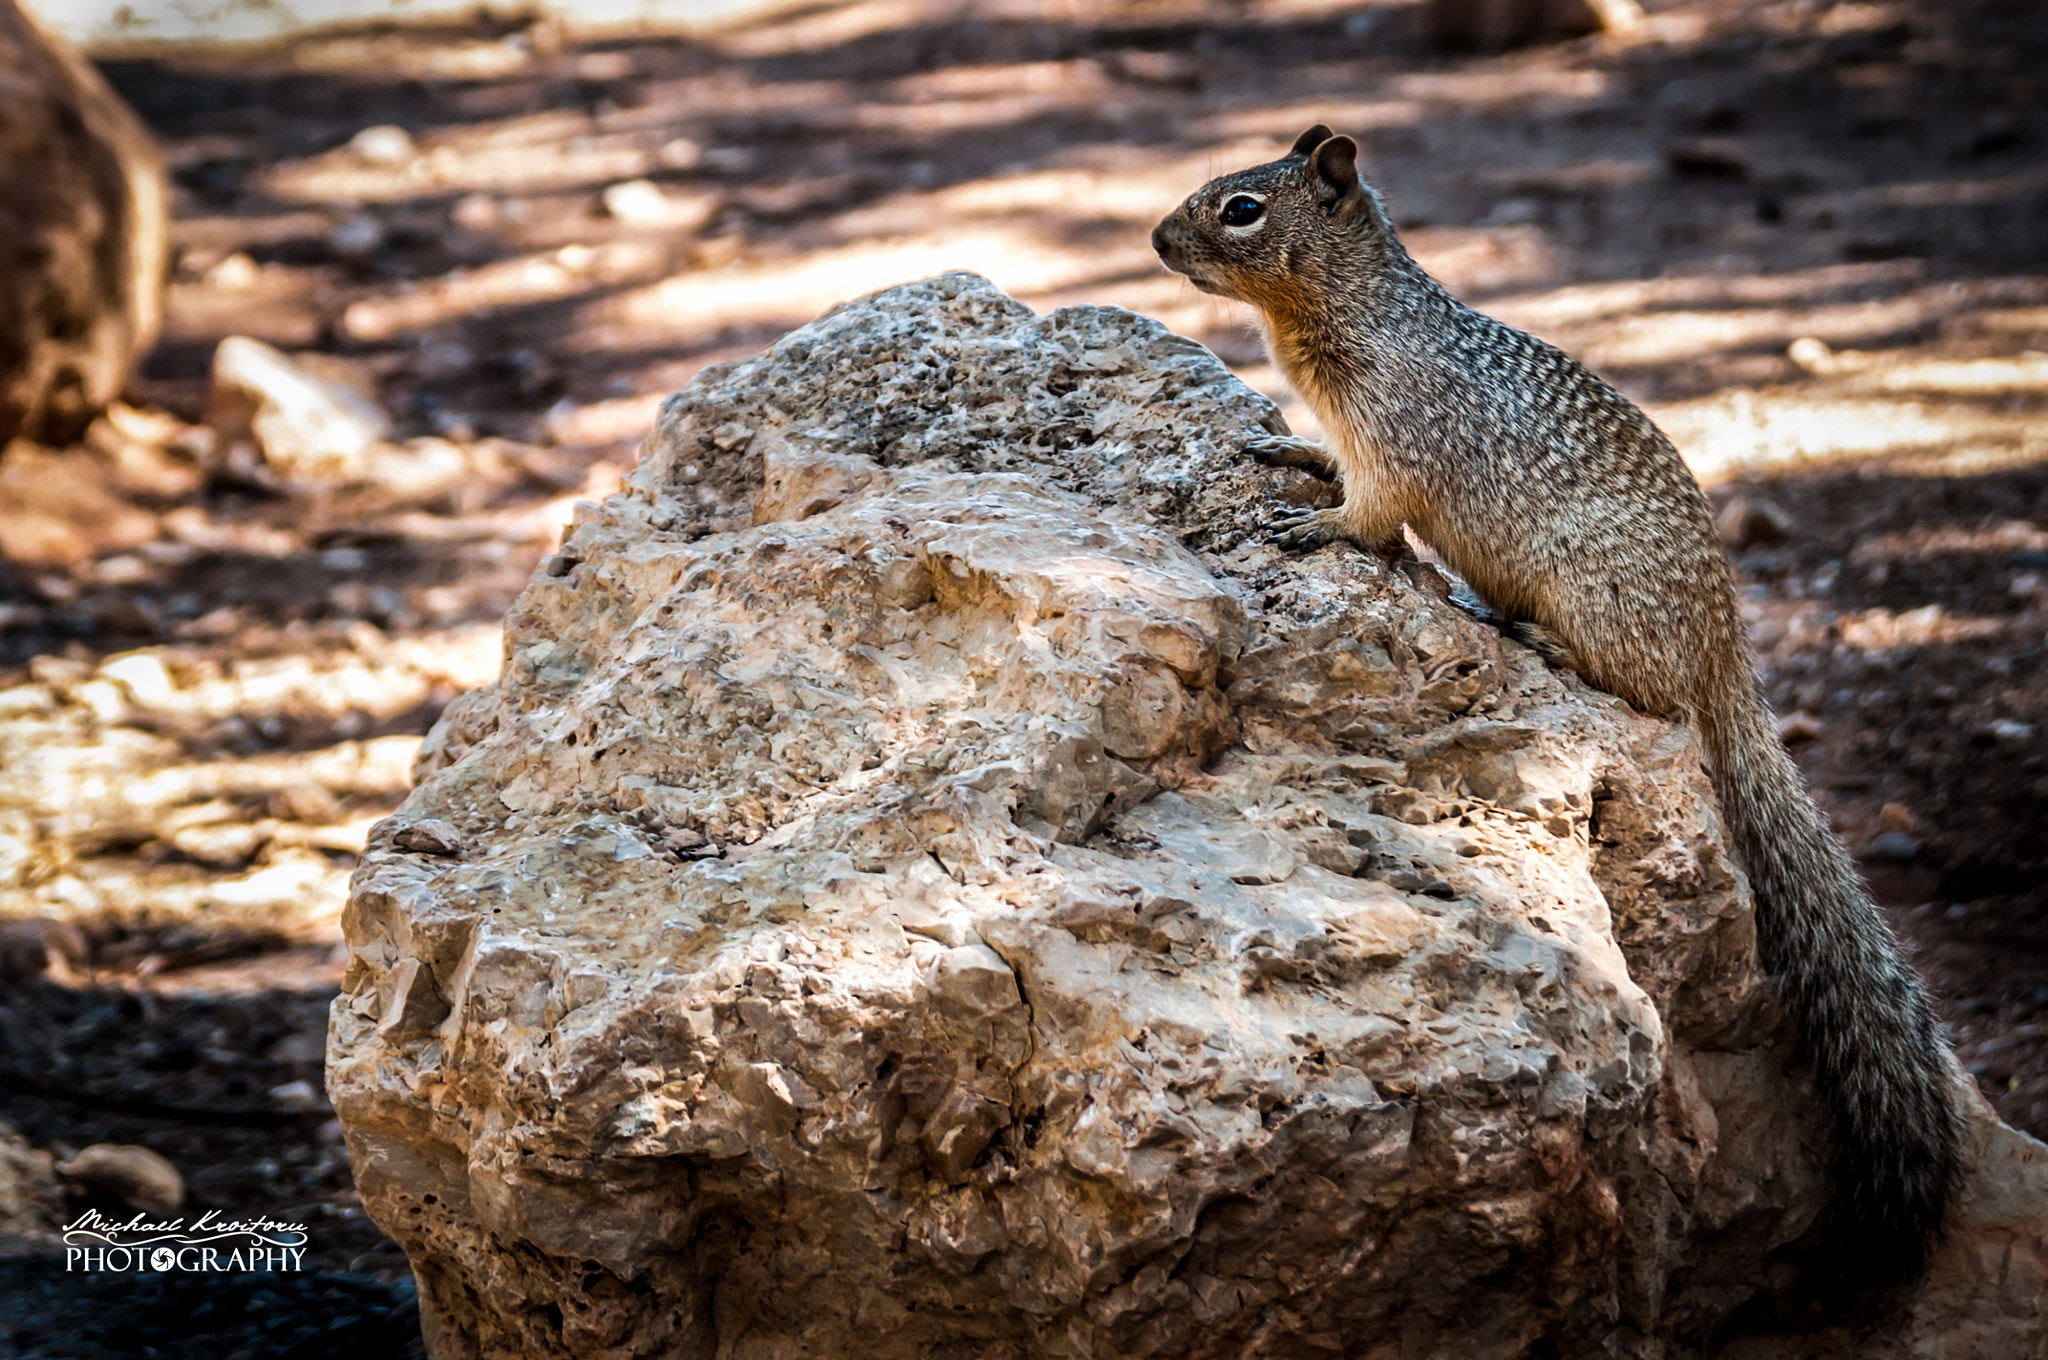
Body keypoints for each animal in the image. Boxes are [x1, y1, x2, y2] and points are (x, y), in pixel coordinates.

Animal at [1155, 127, 1966, 1286]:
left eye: (1240, 209)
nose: (1152, 238)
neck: (1353, 312)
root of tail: (1728, 657)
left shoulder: (1397, 439)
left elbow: (1372, 512)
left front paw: (1317, 526)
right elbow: (1328, 460)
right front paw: (1288, 451)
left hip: (1607, 609)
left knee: (1653, 696)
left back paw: (1536, 637)